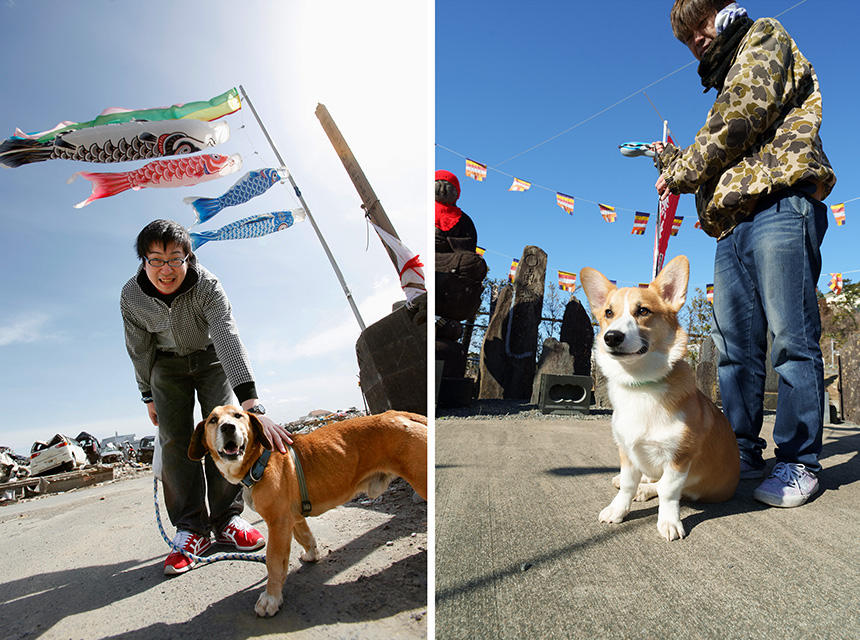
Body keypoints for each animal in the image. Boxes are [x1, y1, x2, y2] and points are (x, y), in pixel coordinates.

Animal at [190, 404, 428, 616]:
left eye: (238, 416)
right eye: (213, 420)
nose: (228, 427)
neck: (259, 460)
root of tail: (400, 414)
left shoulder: (278, 523)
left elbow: (274, 561)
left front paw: (271, 597)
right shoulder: (292, 518)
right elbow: (305, 536)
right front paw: (311, 555)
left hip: (421, 479)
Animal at [580, 255, 744, 540]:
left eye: (643, 311)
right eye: (608, 313)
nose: (612, 337)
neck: (640, 384)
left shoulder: (679, 457)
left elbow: (668, 491)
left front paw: (669, 522)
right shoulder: (626, 450)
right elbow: (628, 484)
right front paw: (618, 510)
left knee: (663, 485)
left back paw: (646, 489)